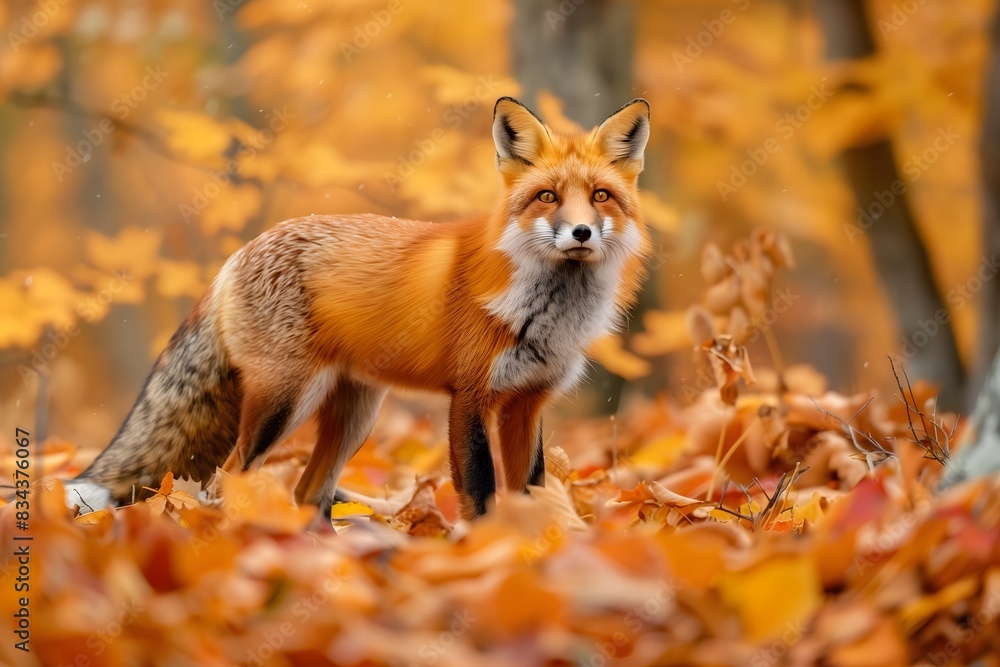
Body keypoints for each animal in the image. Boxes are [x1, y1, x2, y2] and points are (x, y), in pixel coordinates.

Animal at [68, 97, 651, 521]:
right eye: (548, 197)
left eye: (600, 196)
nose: (580, 232)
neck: (545, 314)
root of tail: (239, 253)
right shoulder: (469, 398)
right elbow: (481, 493)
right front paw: (487, 548)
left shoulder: (526, 404)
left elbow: (530, 491)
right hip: (285, 403)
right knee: (224, 479)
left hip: (355, 415)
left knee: (309, 493)